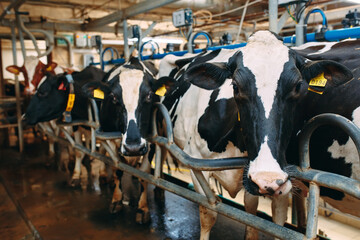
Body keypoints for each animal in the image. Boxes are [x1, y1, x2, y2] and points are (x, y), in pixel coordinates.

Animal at [83, 57, 160, 223]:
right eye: (113, 97)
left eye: (149, 95)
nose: (133, 147)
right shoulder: (111, 138)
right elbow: (117, 168)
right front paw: (116, 200)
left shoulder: (150, 142)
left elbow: (144, 172)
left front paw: (143, 208)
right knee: (104, 153)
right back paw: (104, 176)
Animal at [184, 29, 358, 232]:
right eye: (235, 86)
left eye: (298, 86)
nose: (267, 180)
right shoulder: (194, 161)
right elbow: (208, 215)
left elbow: (264, 218)